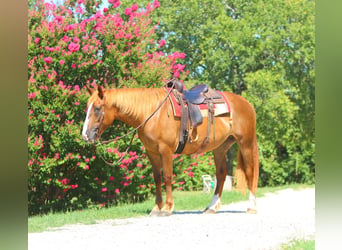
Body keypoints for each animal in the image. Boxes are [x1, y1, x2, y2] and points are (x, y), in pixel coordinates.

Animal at [82, 84, 260, 215]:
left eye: (97, 108)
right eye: (87, 107)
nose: (85, 135)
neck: (151, 113)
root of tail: (247, 103)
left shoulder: (165, 150)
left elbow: (167, 176)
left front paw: (167, 208)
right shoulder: (152, 152)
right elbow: (157, 178)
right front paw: (156, 208)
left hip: (245, 143)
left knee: (250, 172)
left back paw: (251, 207)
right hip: (220, 147)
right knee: (221, 174)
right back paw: (211, 207)